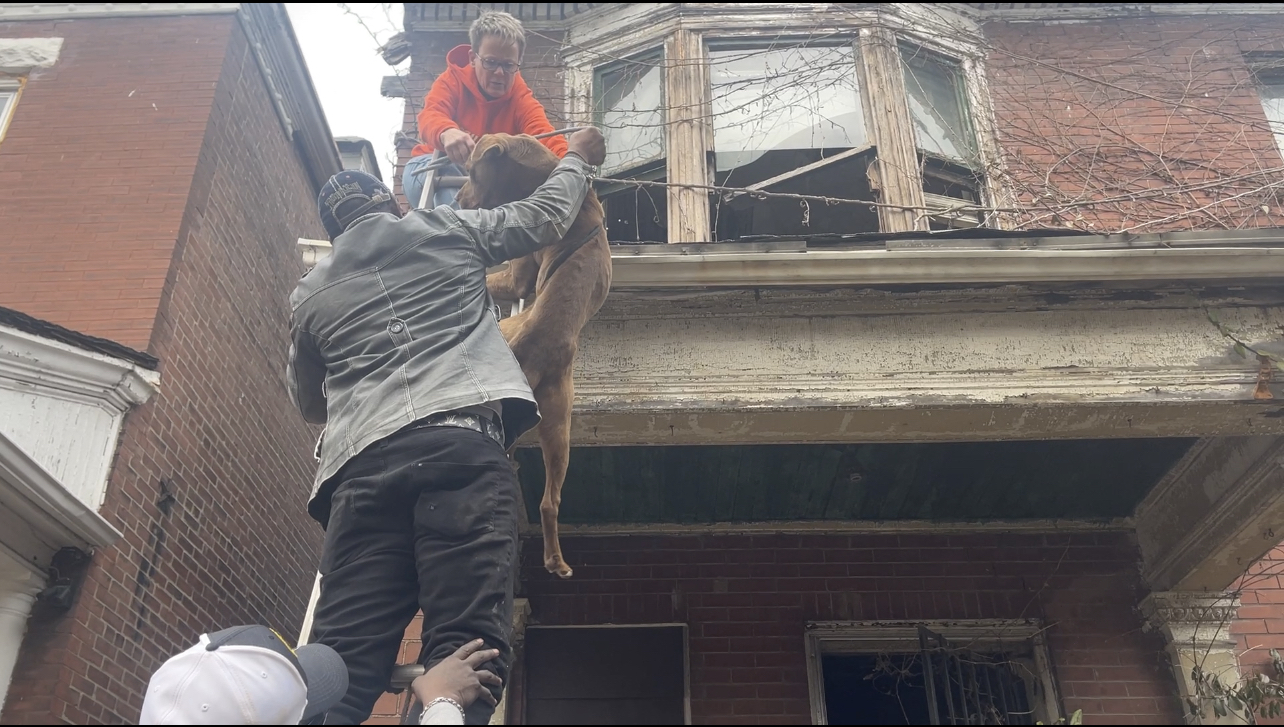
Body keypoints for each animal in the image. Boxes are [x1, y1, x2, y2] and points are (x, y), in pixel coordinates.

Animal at [457, 134, 611, 580]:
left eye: (471, 171)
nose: (456, 199)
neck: (543, 175)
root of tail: (531, 348)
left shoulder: (517, 277)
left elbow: (491, 276)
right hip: (560, 427)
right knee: (550, 501)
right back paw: (557, 563)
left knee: (545, 502)